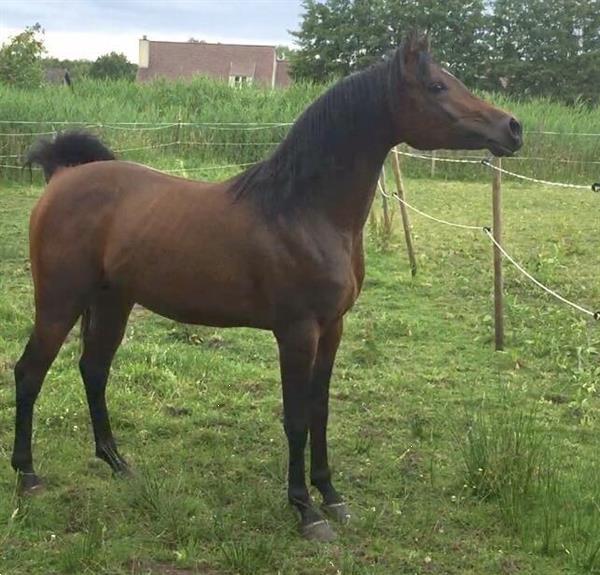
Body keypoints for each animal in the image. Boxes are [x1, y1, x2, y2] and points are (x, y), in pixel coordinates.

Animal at [12, 33, 520, 544]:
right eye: (437, 86)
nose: (512, 128)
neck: (304, 211)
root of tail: (62, 178)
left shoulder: (332, 329)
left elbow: (319, 411)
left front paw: (331, 495)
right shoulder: (296, 333)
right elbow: (295, 418)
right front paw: (306, 510)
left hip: (112, 302)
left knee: (94, 370)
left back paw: (117, 463)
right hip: (58, 303)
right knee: (30, 372)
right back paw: (28, 475)